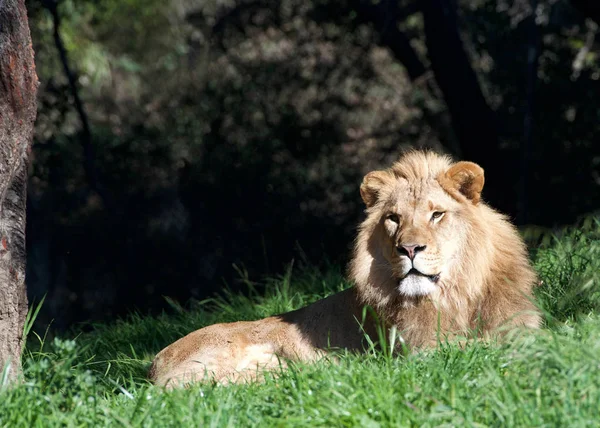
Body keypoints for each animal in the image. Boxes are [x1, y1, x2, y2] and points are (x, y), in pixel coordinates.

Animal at [148, 150, 540, 388]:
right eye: (394, 219)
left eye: (437, 214)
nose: (409, 249)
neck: (457, 292)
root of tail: (153, 364)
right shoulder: (417, 350)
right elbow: (473, 347)